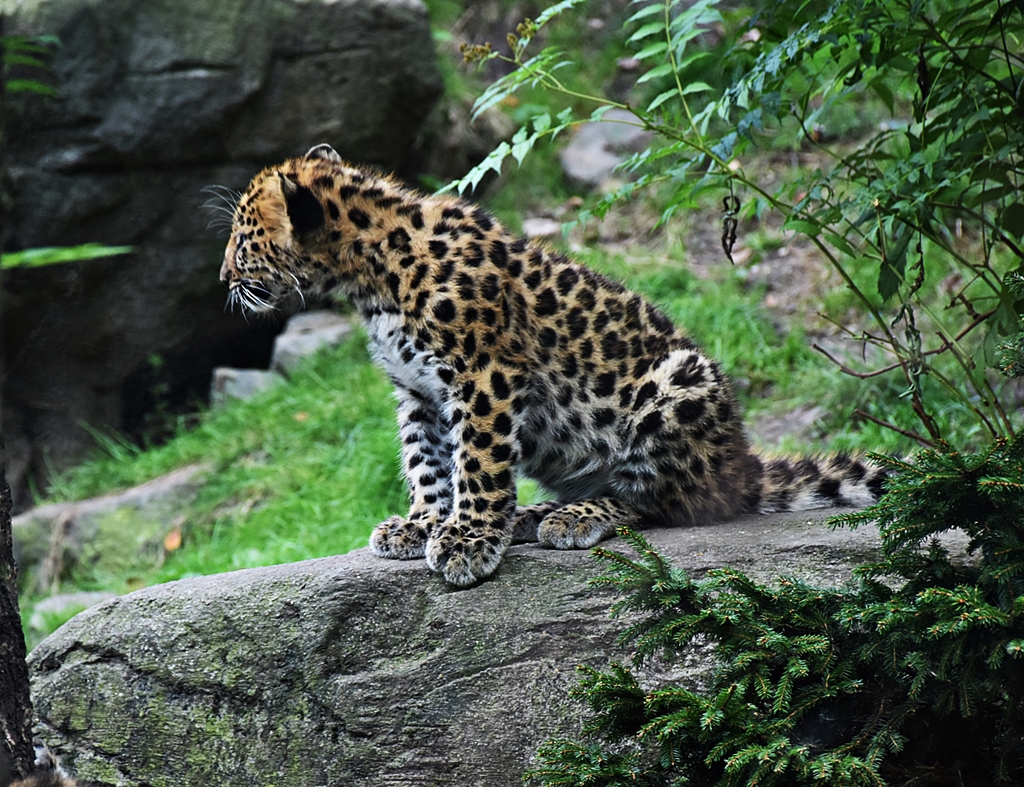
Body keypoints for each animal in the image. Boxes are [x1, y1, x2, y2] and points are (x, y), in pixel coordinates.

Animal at [218, 143, 886, 587]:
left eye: (242, 238)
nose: (223, 277)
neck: (369, 280)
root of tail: (740, 463)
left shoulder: (483, 373)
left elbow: (478, 462)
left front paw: (467, 541)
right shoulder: (416, 390)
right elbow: (426, 462)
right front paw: (424, 523)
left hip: (679, 385)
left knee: (663, 504)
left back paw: (568, 518)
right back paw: (532, 513)